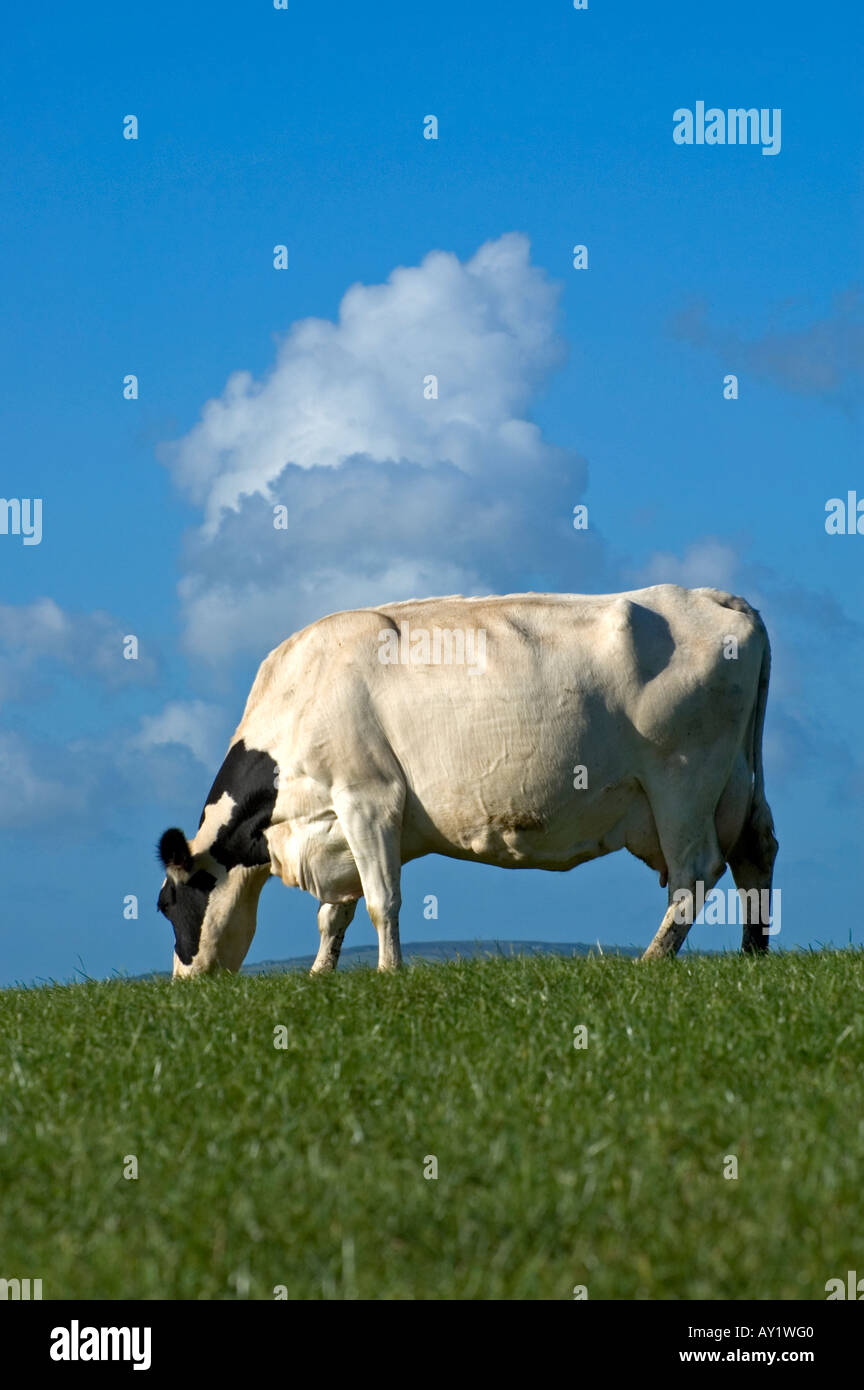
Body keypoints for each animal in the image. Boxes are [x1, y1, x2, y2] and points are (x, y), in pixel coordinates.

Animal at [159, 586, 783, 978]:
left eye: (168, 905)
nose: (183, 982)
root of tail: (715, 598)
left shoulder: (368, 798)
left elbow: (382, 900)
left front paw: (388, 973)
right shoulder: (333, 824)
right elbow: (334, 914)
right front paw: (319, 975)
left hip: (682, 782)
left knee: (694, 872)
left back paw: (652, 960)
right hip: (738, 782)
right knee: (756, 851)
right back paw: (753, 954)